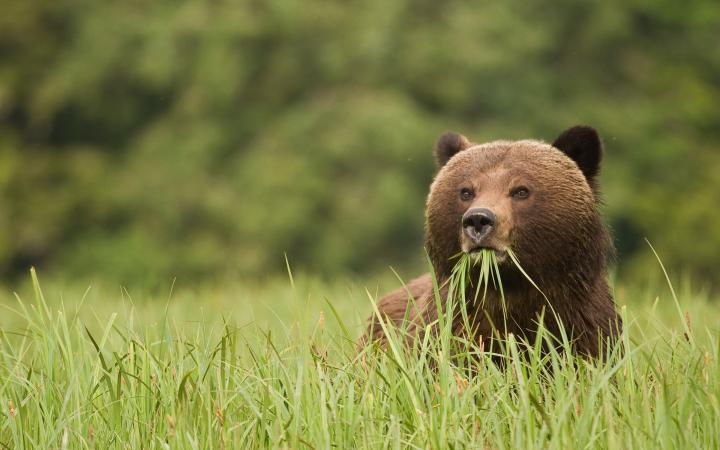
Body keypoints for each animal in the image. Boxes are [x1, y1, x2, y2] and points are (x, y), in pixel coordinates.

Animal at [362, 125, 620, 356]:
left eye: (521, 190)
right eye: (466, 191)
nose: (478, 220)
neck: (509, 290)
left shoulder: (583, 326)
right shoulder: (449, 329)